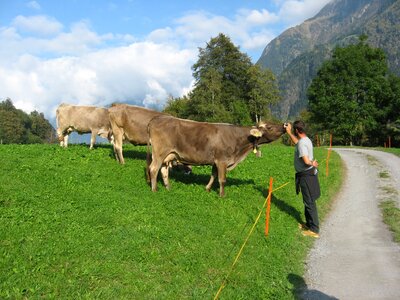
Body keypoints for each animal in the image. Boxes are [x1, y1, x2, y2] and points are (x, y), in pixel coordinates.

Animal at [148, 115, 286, 197]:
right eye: (269, 127)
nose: (285, 125)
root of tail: (158, 117)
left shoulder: (216, 161)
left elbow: (213, 175)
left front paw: (207, 188)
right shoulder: (222, 160)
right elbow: (222, 179)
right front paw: (222, 195)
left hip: (169, 155)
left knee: (164, 170)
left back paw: (168, 188)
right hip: (159, 152)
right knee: (153, 169)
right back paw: (154, 189)